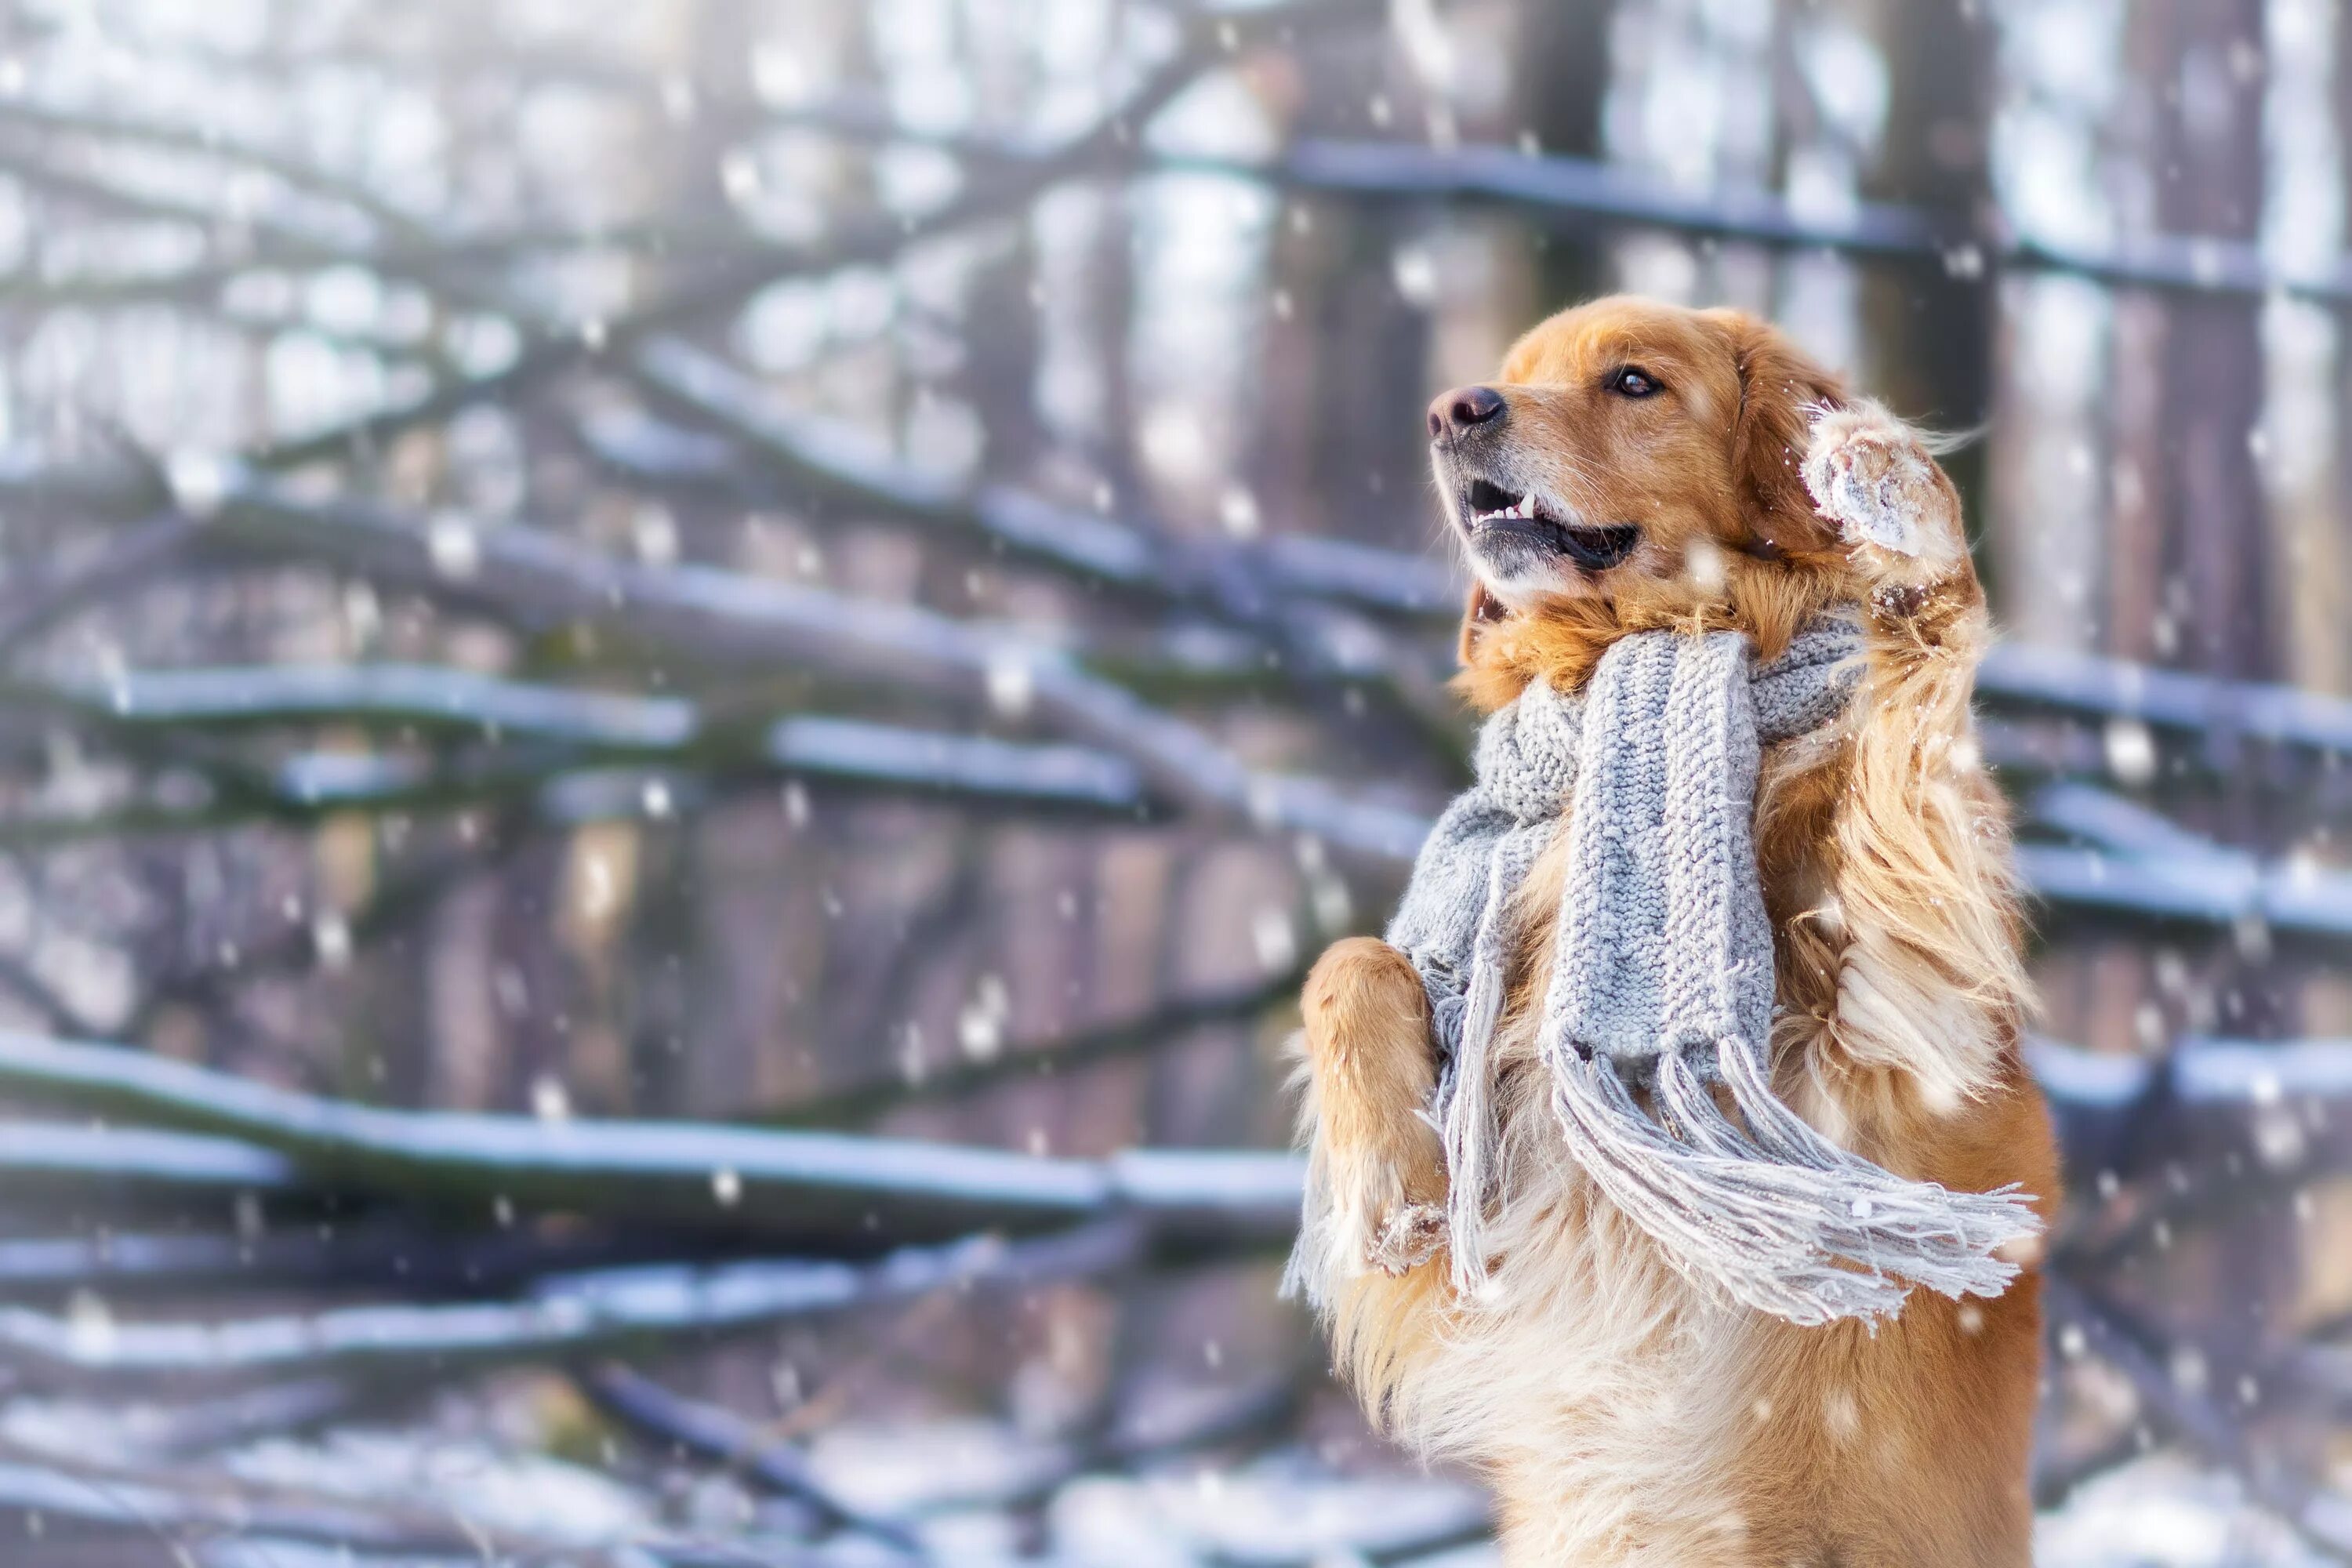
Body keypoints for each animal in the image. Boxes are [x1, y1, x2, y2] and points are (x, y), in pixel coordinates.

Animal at [1298, 297, 2051, 1568]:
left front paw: (1891, 496)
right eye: (1509, 374)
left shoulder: (1897, 1015)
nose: (1453, 412)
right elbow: (1348, 963)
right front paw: (1394, 1185)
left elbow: (1908, 726)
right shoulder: (1500, 1230)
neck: (1640, 651)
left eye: (1634, 382)